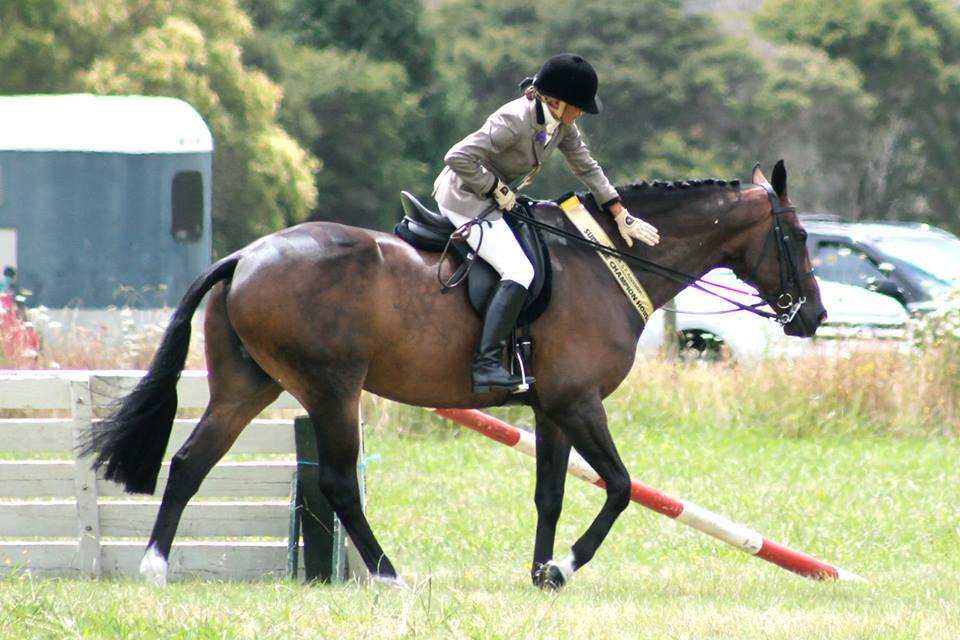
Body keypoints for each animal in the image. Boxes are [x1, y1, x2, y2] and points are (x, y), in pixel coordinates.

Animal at [79, 161, 824, 592]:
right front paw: (564, 566)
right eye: (798, 236)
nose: (813, 316)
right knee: (337, 482)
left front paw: (539, 572)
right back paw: (388, 575)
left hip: (248, 386)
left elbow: (551, 494)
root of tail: (246, 254)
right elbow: (617, 487)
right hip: (330, 387)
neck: (605, 263)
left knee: (190, 462)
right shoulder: (580, 402)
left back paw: (154, 567)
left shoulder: (552, 409)